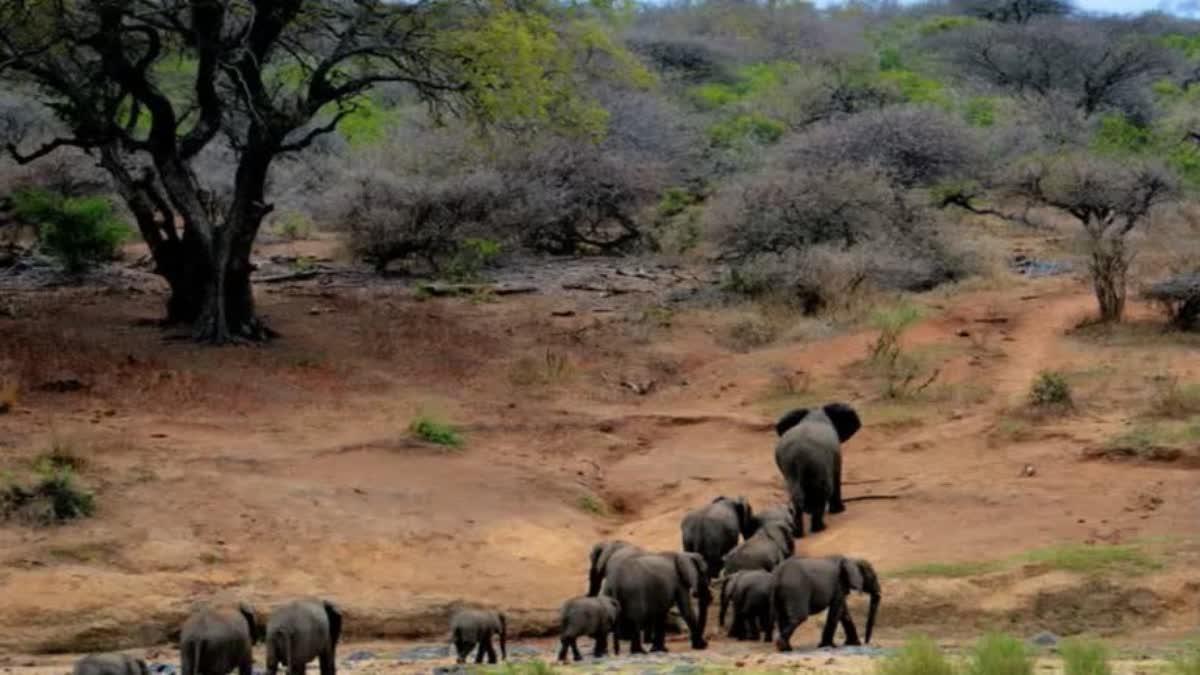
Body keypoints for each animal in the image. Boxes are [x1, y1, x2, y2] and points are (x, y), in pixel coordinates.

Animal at [772, 398, 859, 535]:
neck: (815, 413)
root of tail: (798, 453)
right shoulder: (836, 455)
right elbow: (837, 475)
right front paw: (840, 510)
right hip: (818, 464)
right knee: (823, 491)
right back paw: (820, 528)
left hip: (789, 467)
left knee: (795, 496)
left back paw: (797, 533)